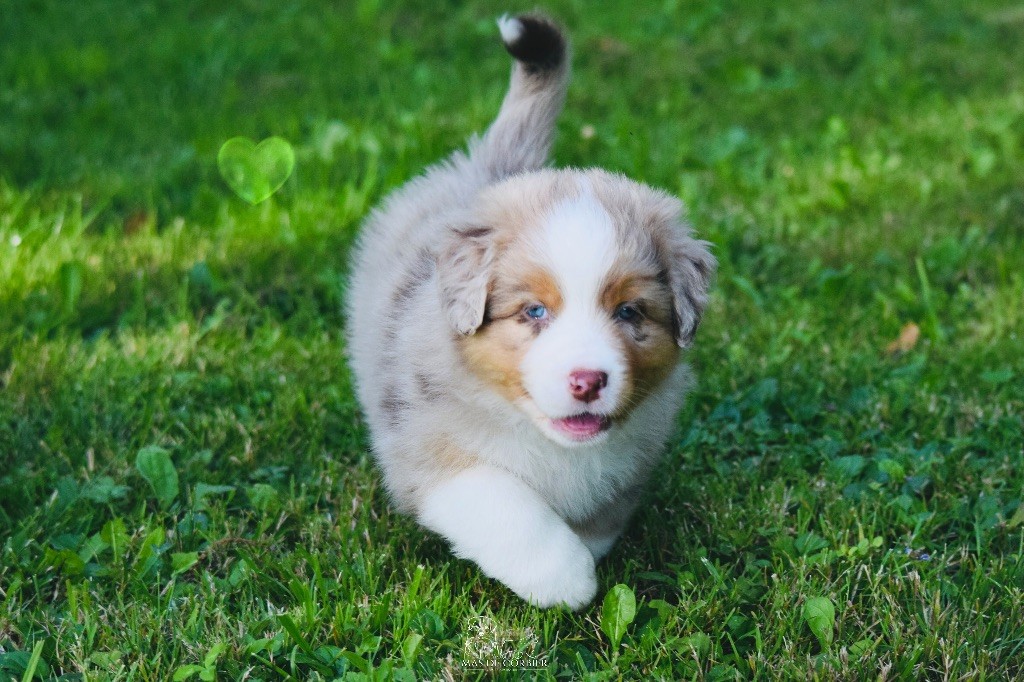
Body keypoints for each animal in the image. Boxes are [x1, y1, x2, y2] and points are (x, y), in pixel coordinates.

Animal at [345, 13, 715, 610]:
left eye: (629, 313)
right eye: (535, 312)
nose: (587, 381)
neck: (541, 435)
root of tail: (494, 166)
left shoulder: (627, 462)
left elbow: (595, 518)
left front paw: (583, 550)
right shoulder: (426, 448)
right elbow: (506, 506)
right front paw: (567, 579)